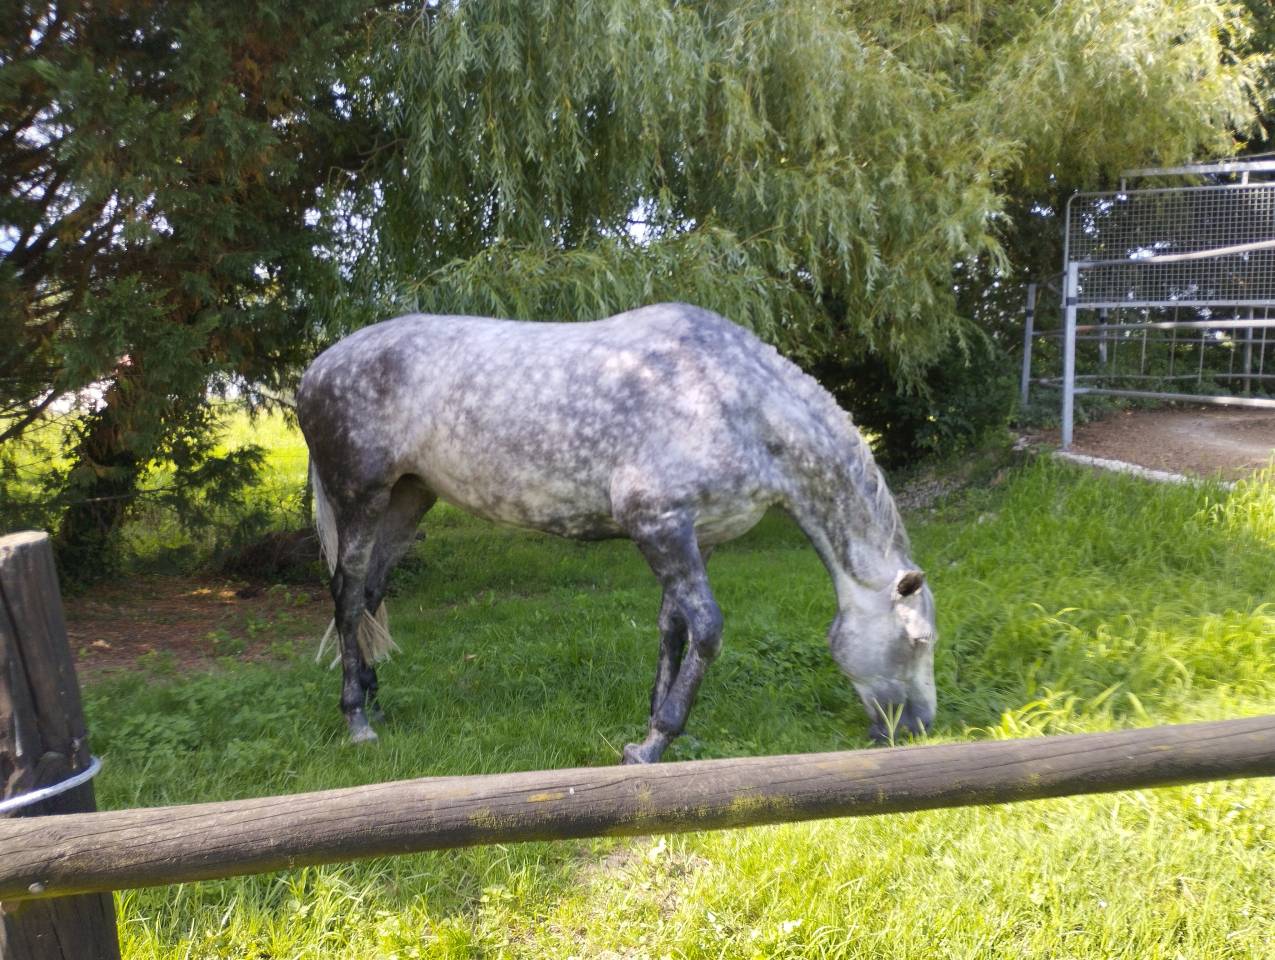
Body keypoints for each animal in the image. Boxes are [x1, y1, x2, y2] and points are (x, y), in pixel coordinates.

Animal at [296, 302, 936, 762]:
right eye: (919, 641)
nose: (919, 729)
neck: (736, 402)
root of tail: (316, 369)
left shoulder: (692, 537)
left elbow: (673, 629)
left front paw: (662, 726)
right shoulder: (658, 524)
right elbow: (707, 628)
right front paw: (654, 744)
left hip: (409, 498)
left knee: (371, 594)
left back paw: (375, 700)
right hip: (360, 498)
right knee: (347, 597)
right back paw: (357, 720)